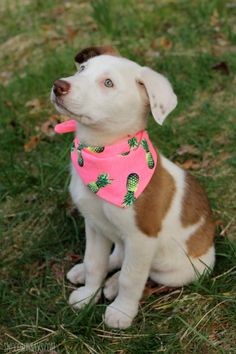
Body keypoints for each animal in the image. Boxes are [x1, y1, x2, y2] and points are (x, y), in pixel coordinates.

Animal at [50, 46, 215, 330]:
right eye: (81, 69)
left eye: (108, 83)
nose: (59, 86)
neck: (103, 152)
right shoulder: (94, 225)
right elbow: (95, 263)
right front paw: (88, 295)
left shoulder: (142, 238)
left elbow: (132, 277)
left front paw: (121, 312)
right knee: (116, 255)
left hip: (179, 270)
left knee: (147, 272)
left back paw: (113, 285)